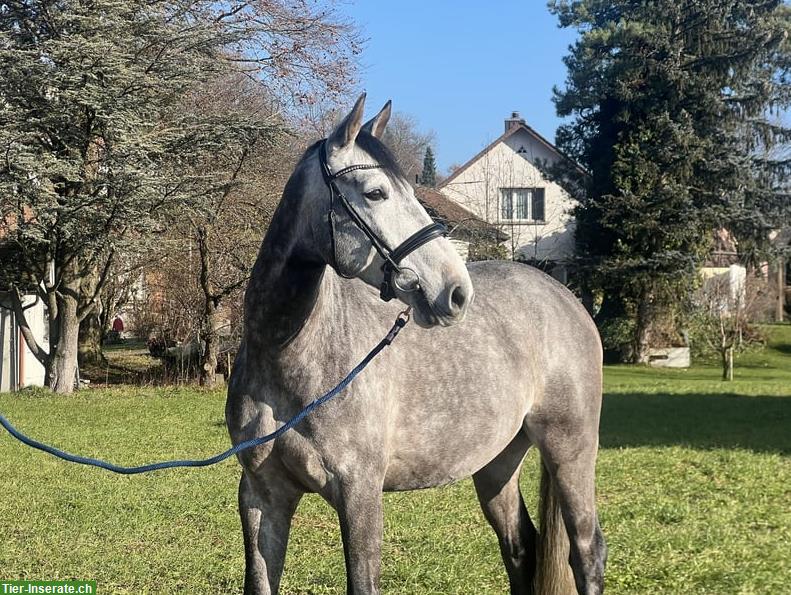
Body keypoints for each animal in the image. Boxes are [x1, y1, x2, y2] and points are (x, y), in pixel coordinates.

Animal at [226, 95, 608, 592]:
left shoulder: (360, 493)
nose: (456, 291)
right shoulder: (261, 495)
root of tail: (567, 298)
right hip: (498, 462)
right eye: (375, 193)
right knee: (521, 547)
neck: (288, 357)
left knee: (587, 551)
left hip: (570, 450)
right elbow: (260, 580)